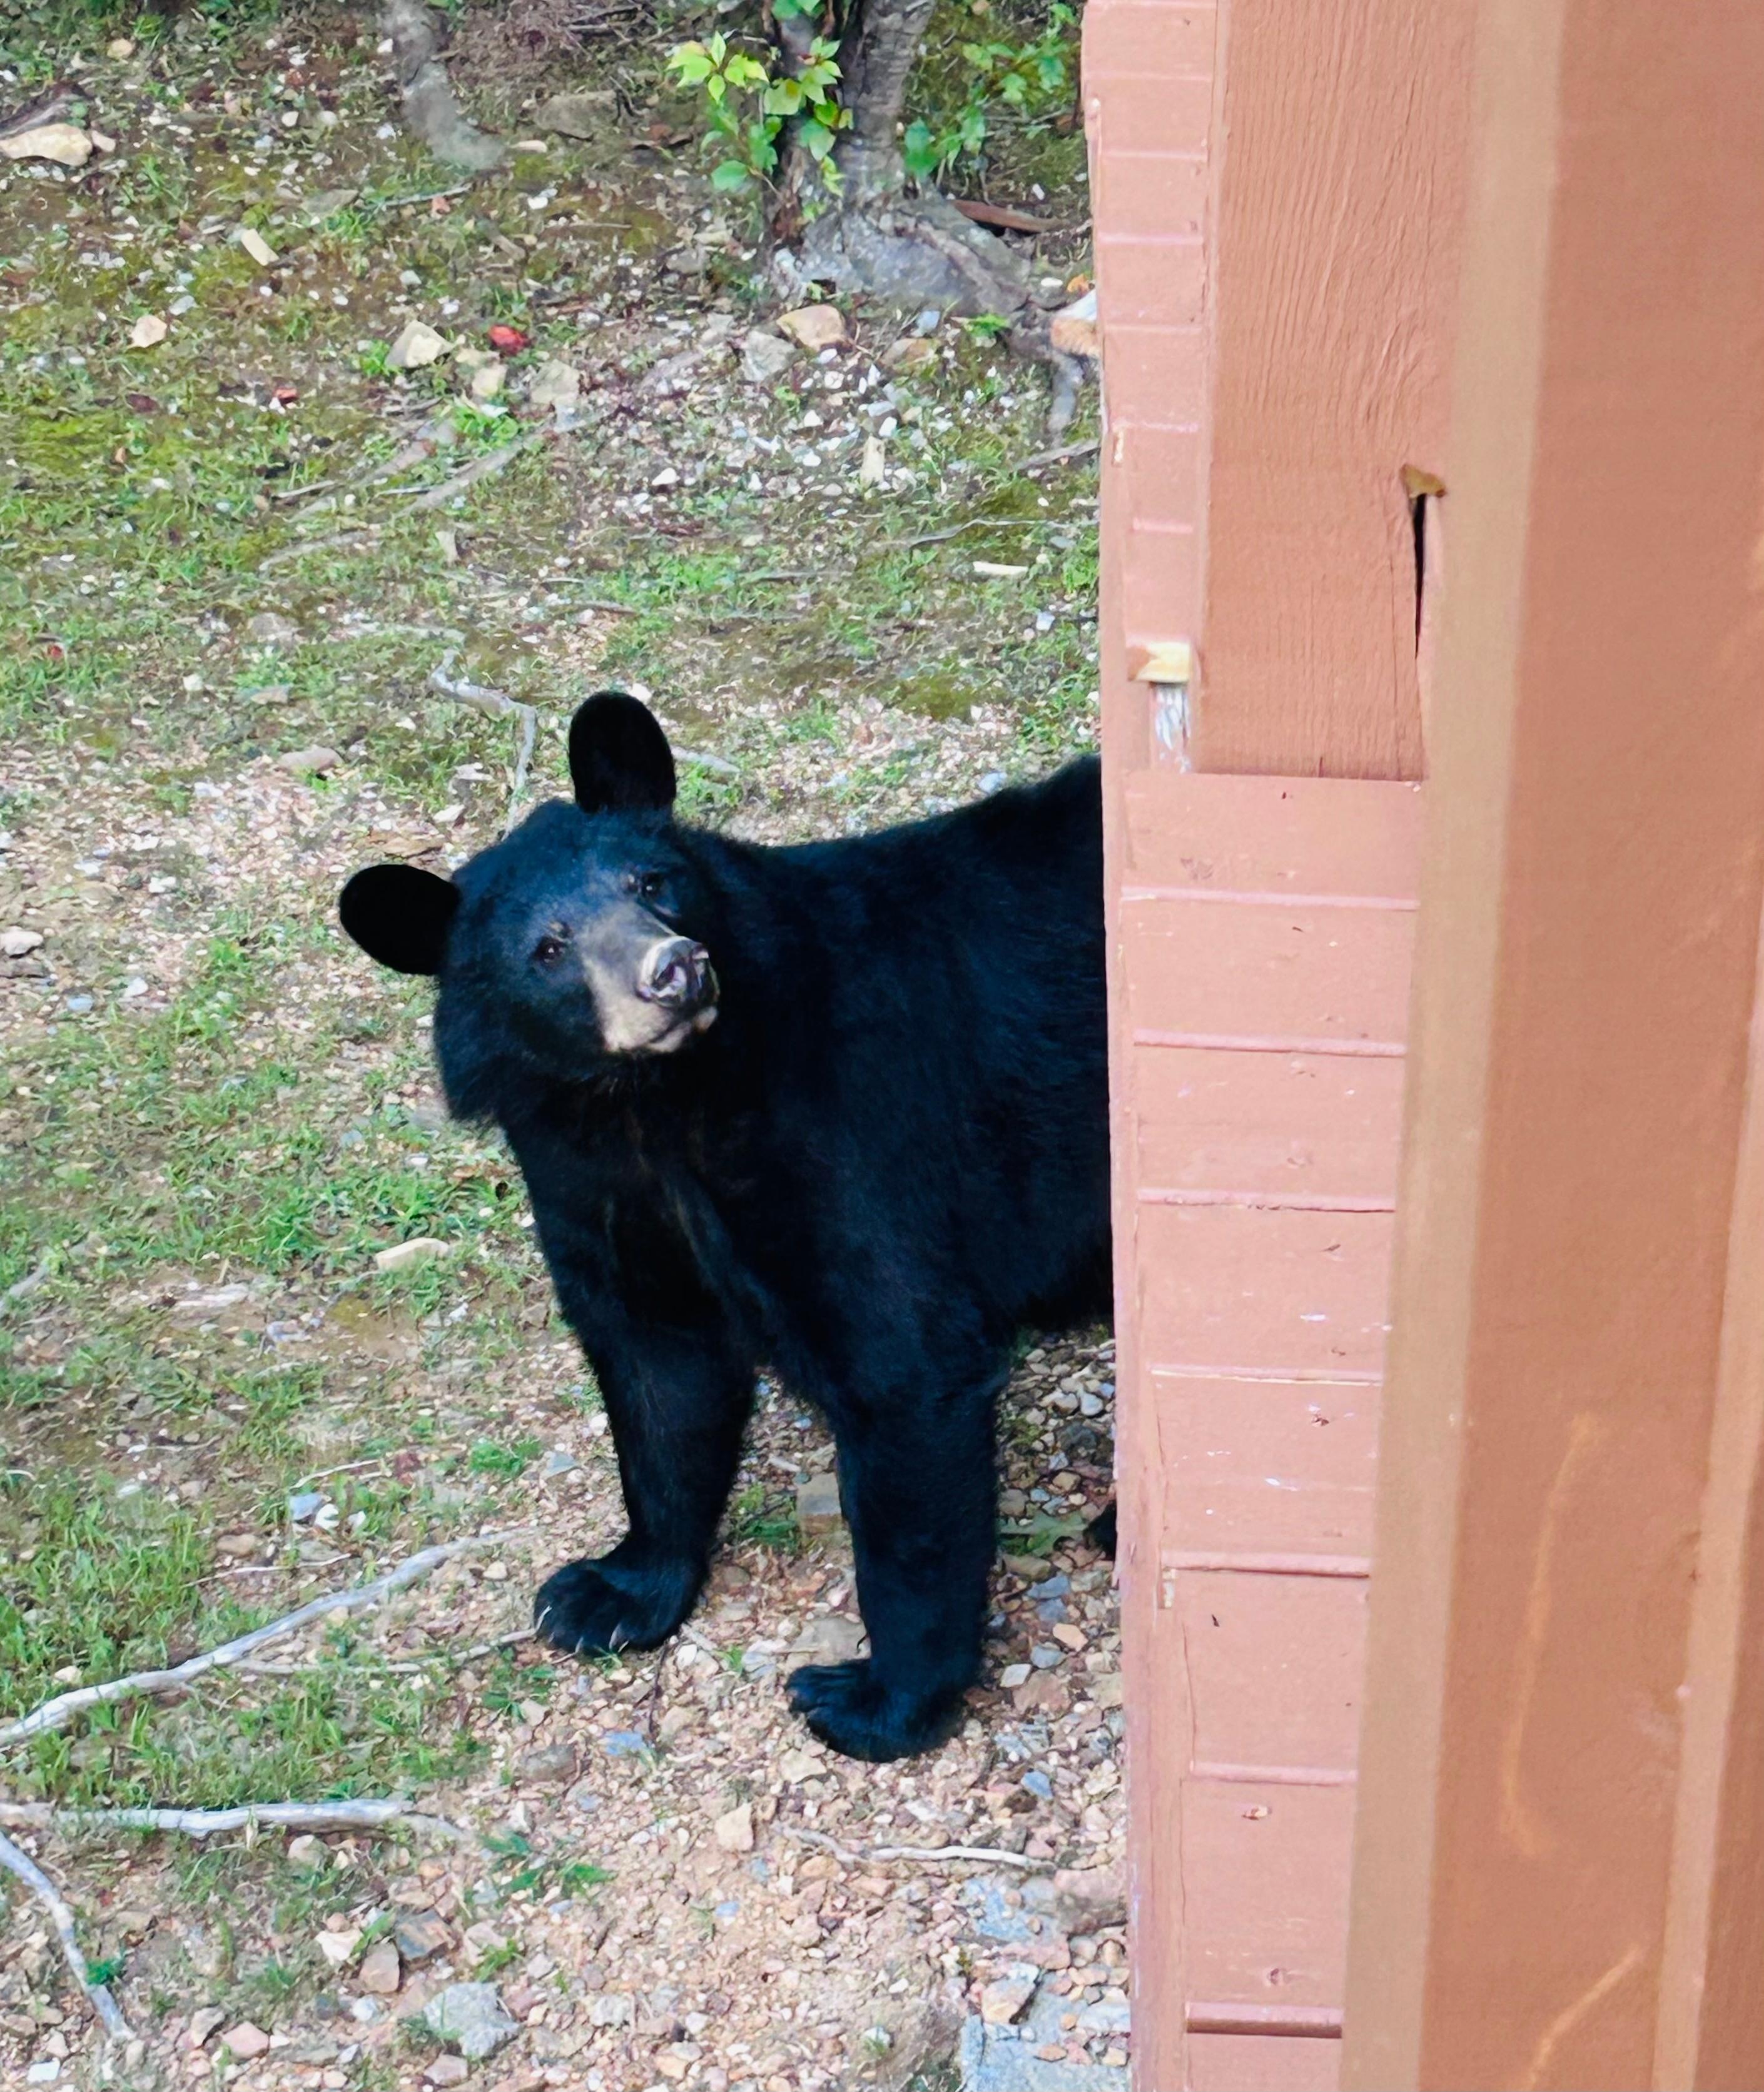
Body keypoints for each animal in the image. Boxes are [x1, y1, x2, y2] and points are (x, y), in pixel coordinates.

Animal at [338, 692, 1110, 1760]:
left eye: (652, 883)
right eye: (548, 947)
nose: (670, 970)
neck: (653, 1103)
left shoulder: (851, 1138)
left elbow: (903, 1371)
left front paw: (870, 1700)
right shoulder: (594, 1191)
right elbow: (661, 1377)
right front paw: (606, 1594)